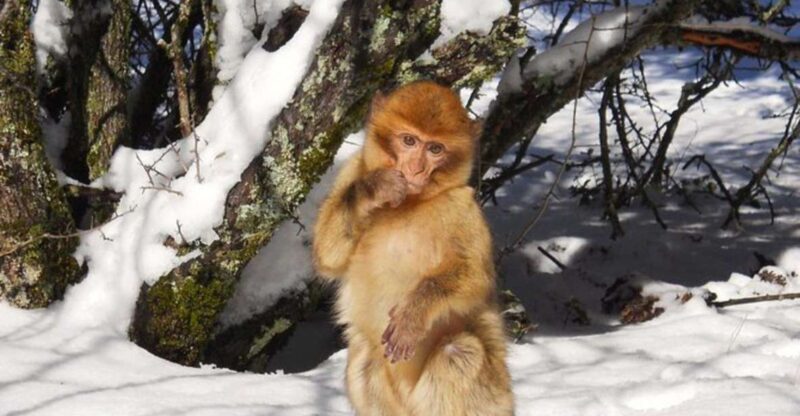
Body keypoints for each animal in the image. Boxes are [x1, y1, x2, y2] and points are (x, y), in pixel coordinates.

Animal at [313, 81, 513, 416]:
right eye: (409, 140)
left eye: (435, 149)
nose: (416, 168)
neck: (411, 202)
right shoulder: (353, 170)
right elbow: (328, 257)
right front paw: (374, 189)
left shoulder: (461, 206)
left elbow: (474, 275)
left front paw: (413, 313)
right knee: (364, 358)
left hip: (495, 400)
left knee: (458, 353)